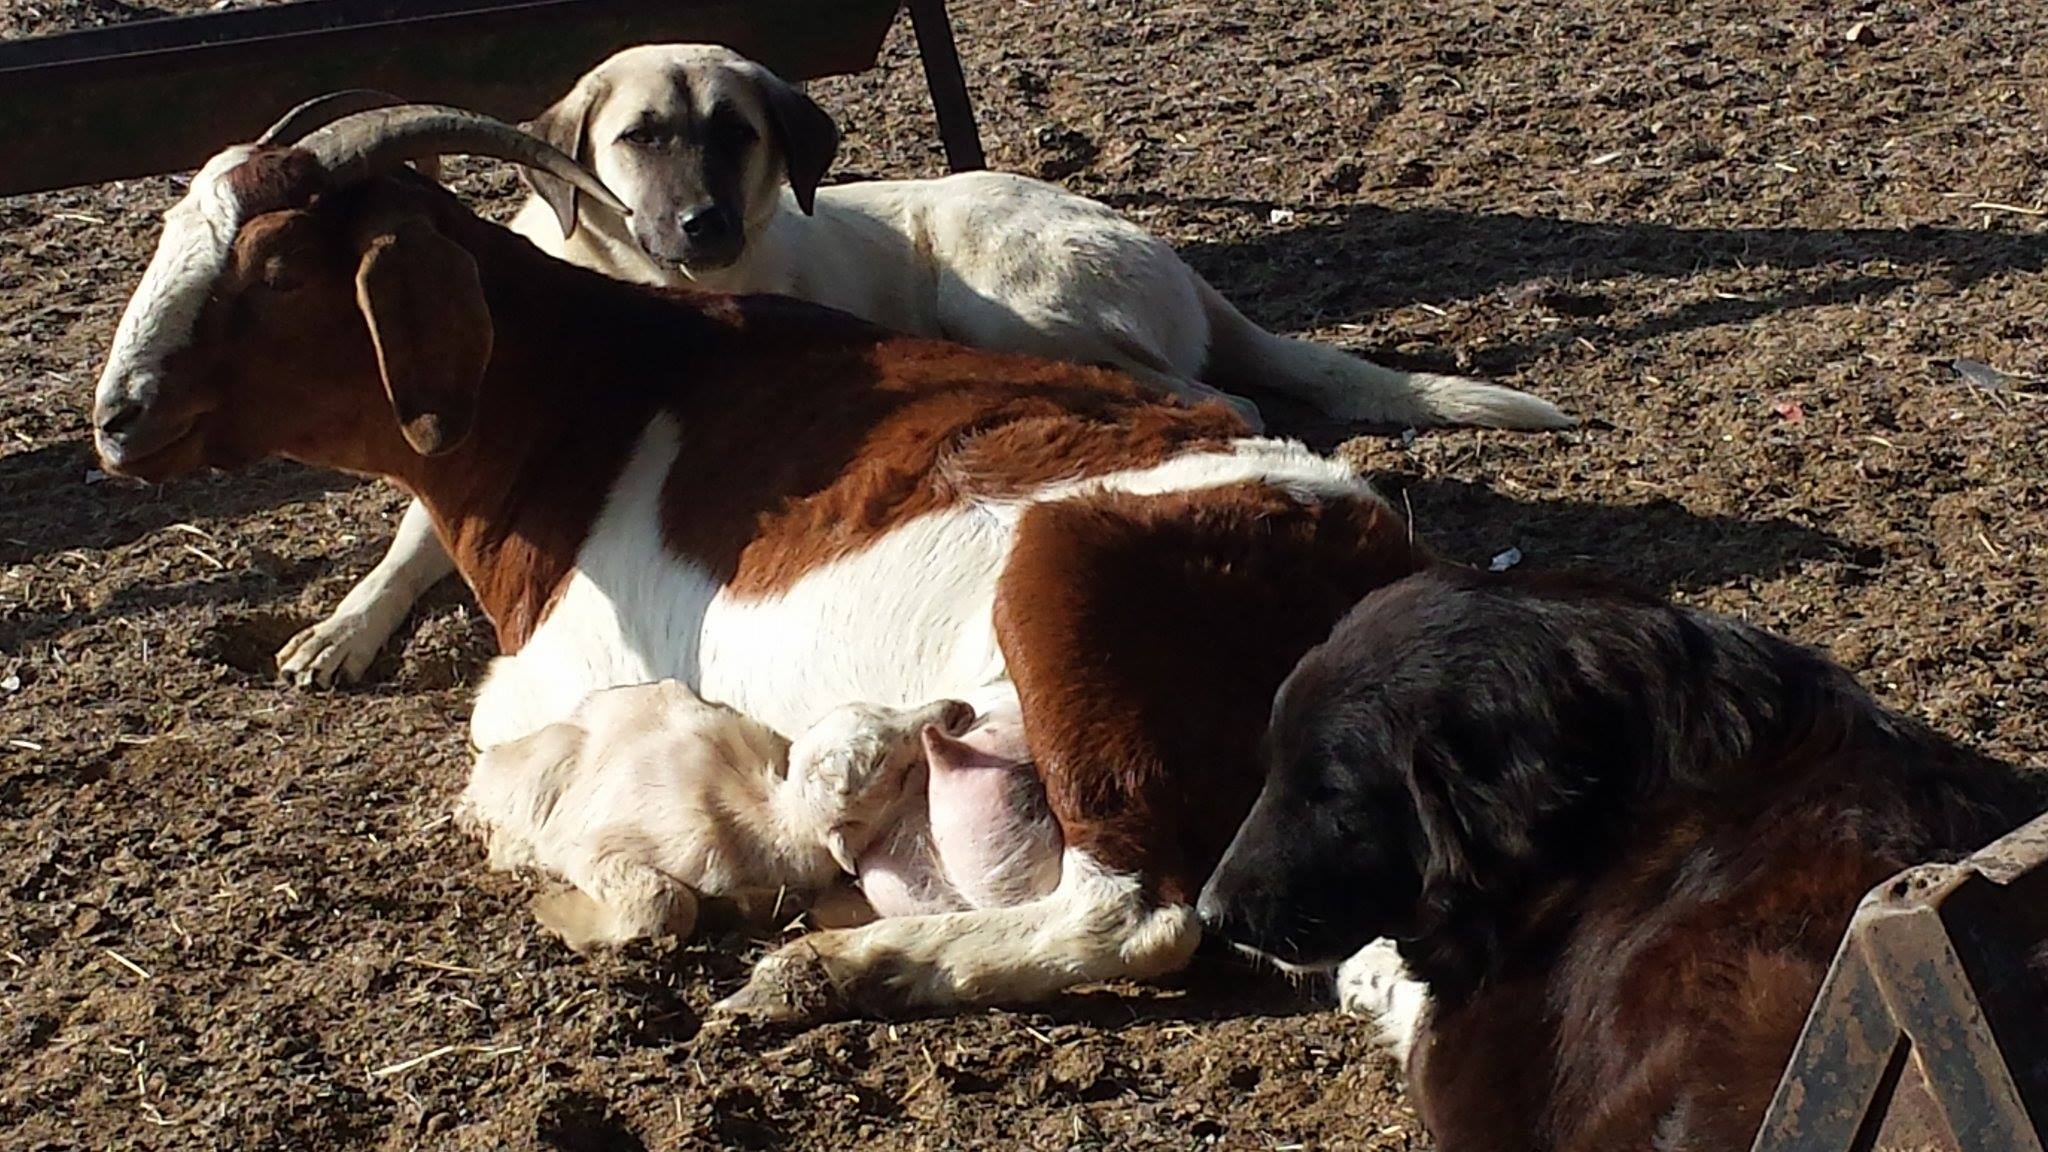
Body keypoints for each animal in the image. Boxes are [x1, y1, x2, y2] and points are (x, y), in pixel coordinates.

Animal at [91, 98, 1425, 1022]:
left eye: (274, 273)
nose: (115, 416)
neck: (585, 400)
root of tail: (1364, 557)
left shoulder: (550, 689)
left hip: (1068, 602)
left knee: (1137, 916)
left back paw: (830, 969)